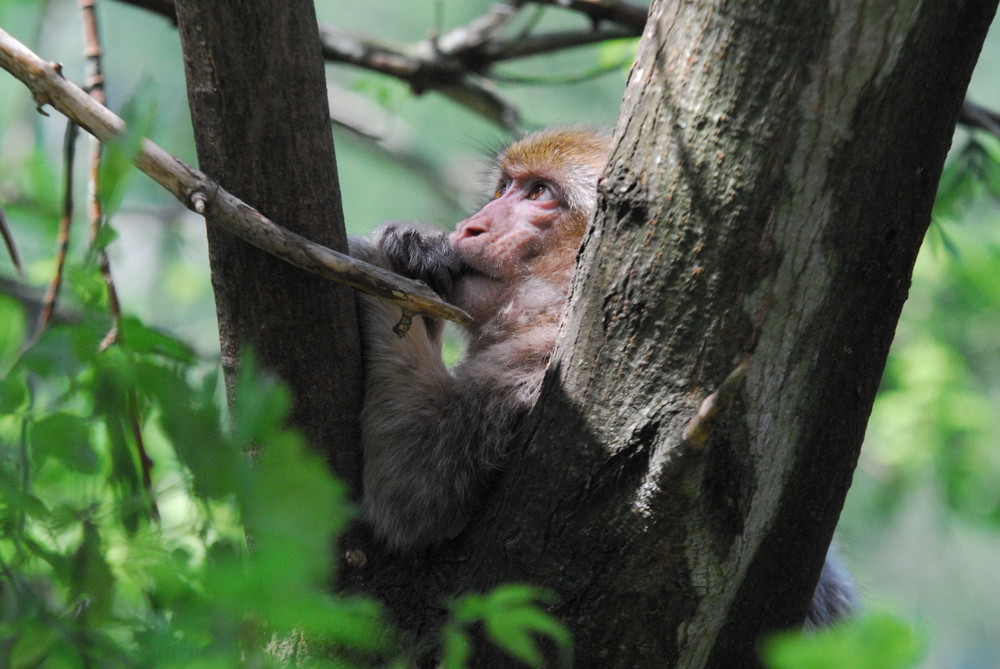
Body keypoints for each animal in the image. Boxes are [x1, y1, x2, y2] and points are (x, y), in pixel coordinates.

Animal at [348, 125, 856, 628]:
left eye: (540, 192)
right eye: (504, 187)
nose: (470, 227)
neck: (555, 311)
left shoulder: (531, 376)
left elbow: (415, 491)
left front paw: (373, 262)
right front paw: (415, 247)